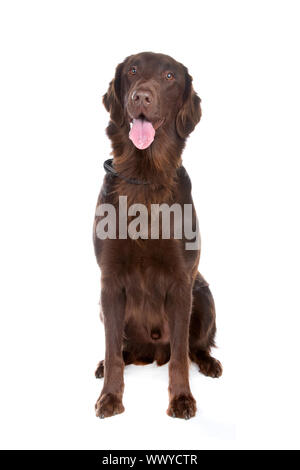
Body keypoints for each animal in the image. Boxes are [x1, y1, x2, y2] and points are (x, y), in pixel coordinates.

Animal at [94, 51, 223, 418]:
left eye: (169, 76)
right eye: (133, 70)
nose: (141, 97)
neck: (145, 175)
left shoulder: (182, 281)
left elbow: (180, 355)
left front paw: (181, 399)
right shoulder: (109, 281)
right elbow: (111, 350)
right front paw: (110, 397)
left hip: (203, 294)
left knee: (195, 347)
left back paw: (209, 363)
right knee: (121, 349)